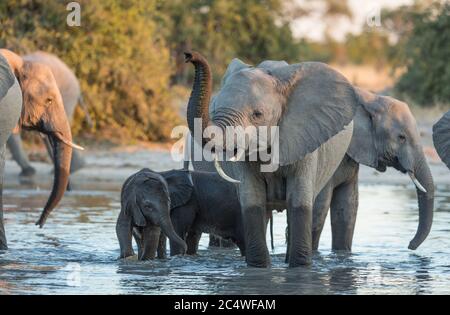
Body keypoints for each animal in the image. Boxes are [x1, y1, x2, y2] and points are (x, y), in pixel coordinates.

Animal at [114, 169, 248, 260]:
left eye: (169, 202)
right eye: (147, 206)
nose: (184, 252)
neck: (163, 174)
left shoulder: (186, 204)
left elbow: (179, 231)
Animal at [184, 51, 358, 266]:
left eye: (257, 114)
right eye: (214, 110)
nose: (189, 55)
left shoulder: (305, 140)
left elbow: (299, 203)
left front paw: (300, 268)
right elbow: (253, 201)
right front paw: (259, 268)